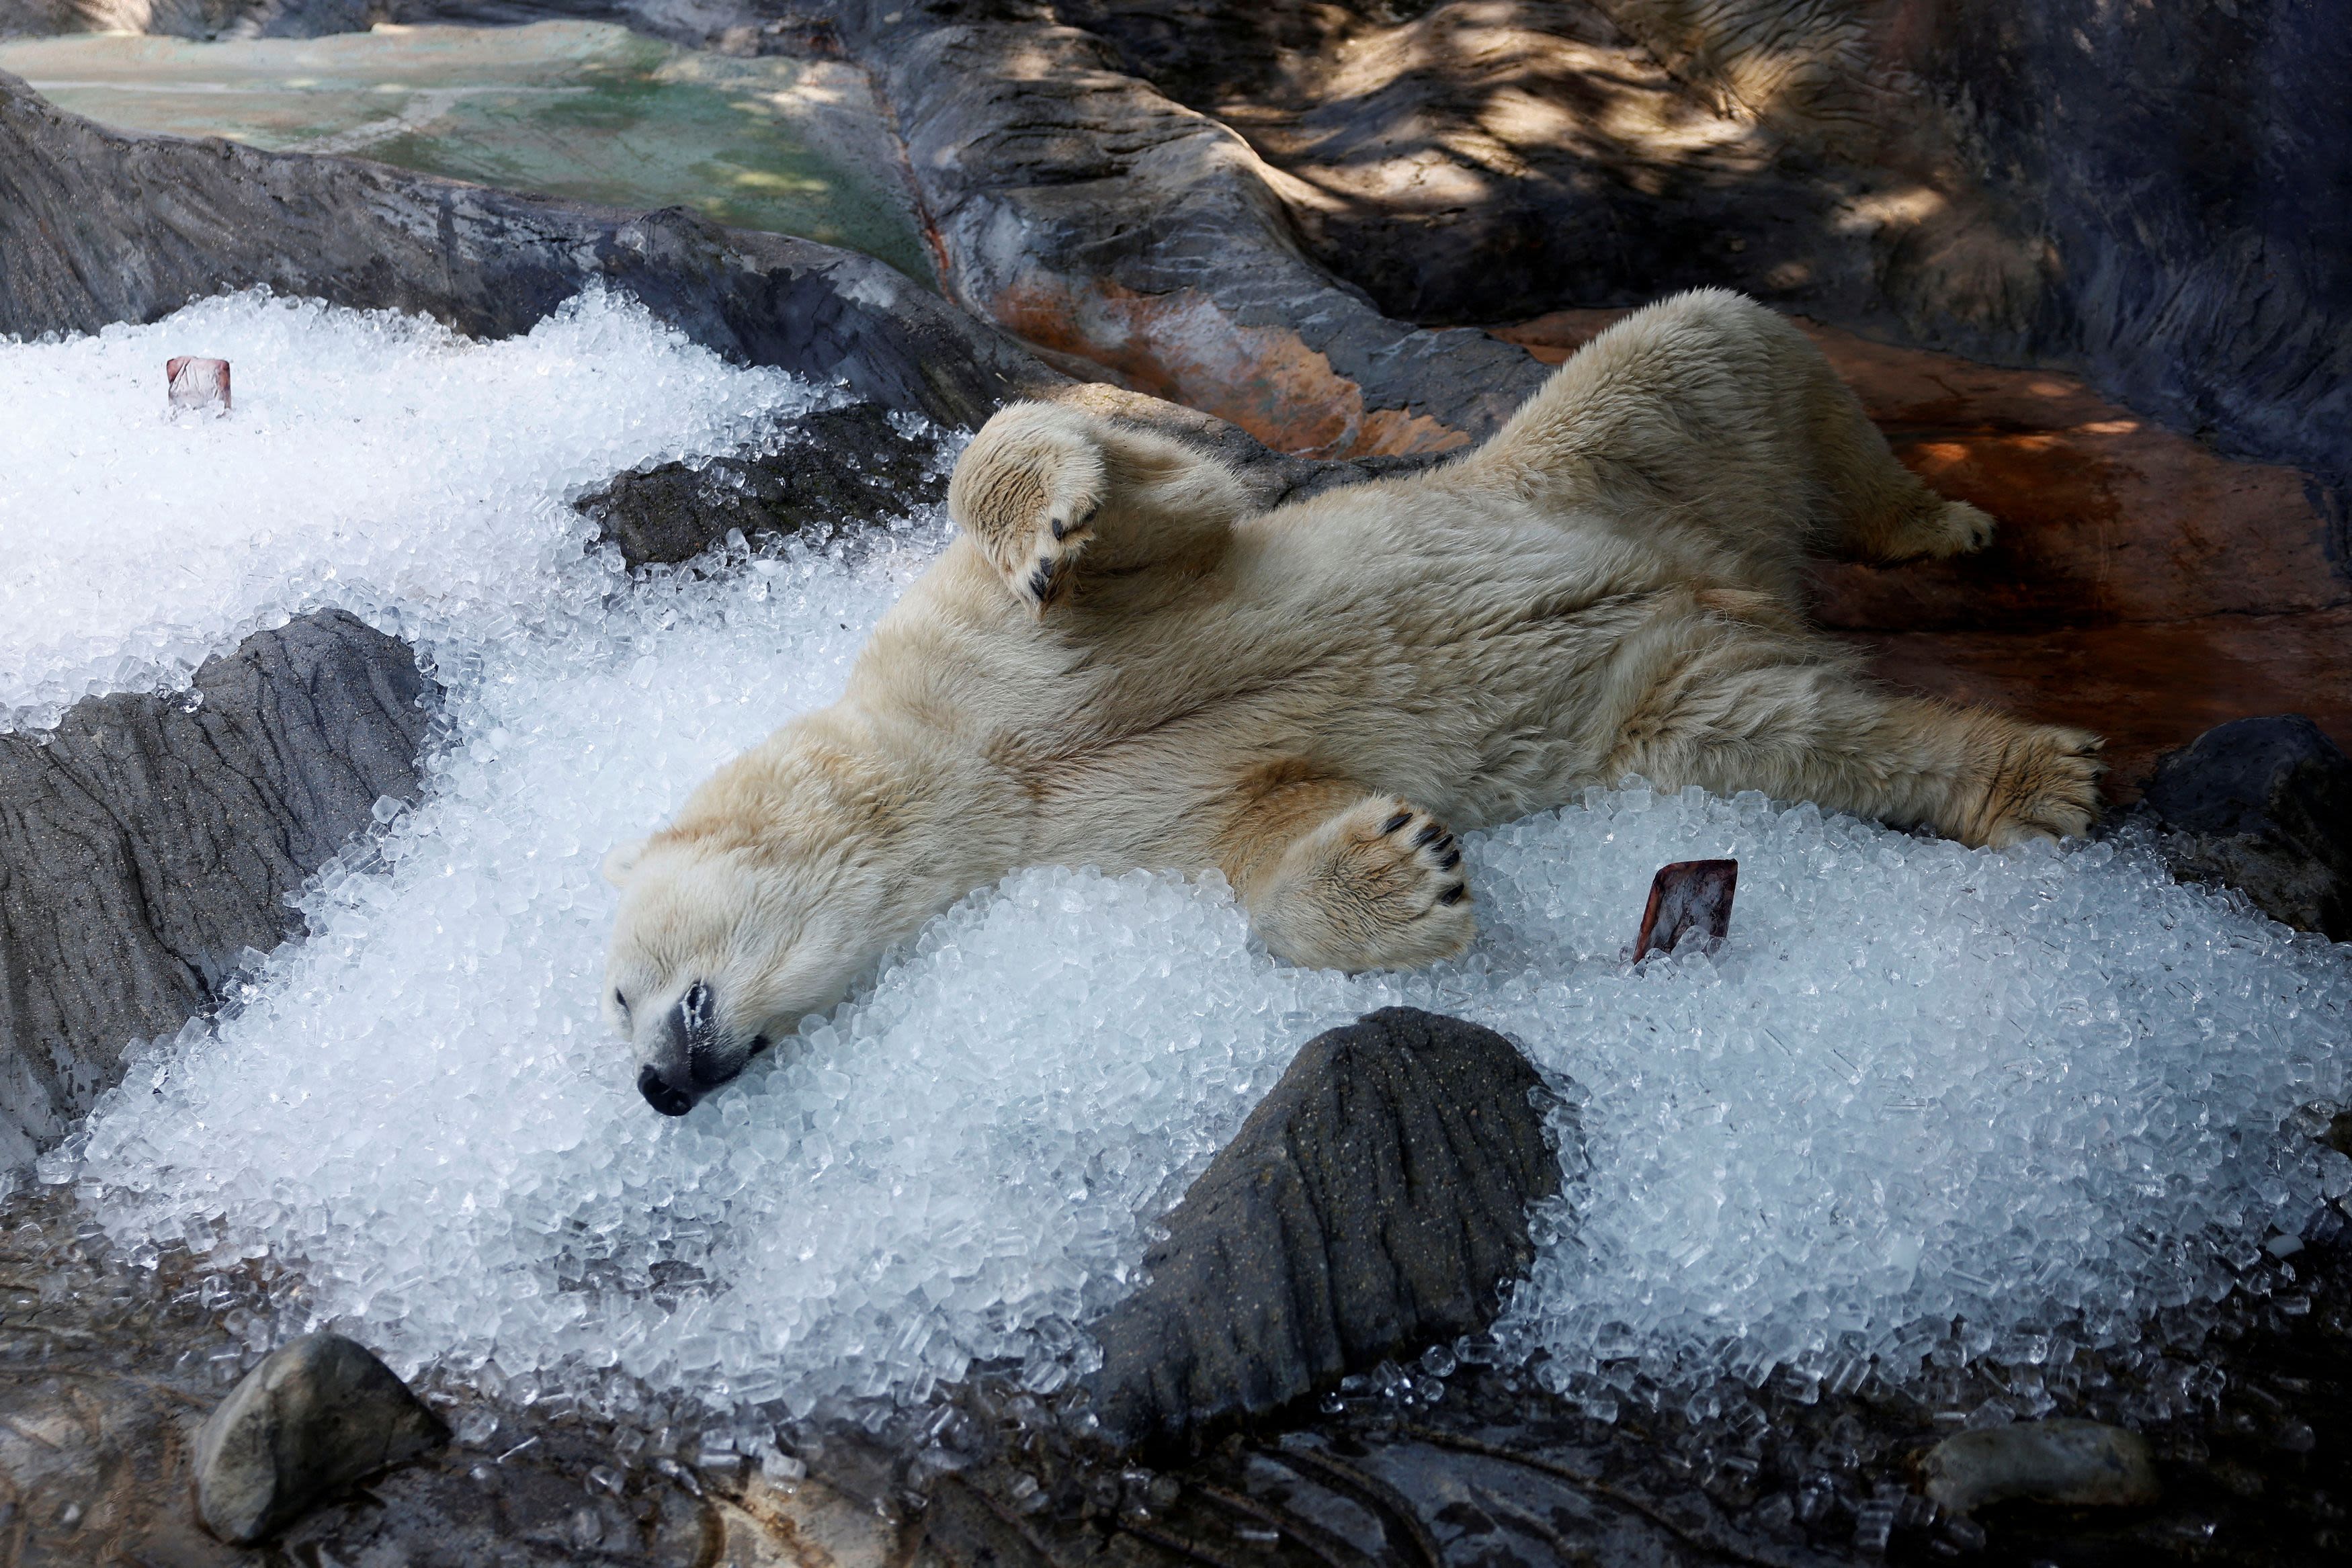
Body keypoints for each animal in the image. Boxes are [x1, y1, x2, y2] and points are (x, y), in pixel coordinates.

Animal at [602, 289, 2102, 1115]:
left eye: (618, 992)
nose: (659, 1089)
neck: (972, 768)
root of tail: (1727, 577)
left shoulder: (960, 641)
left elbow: (1143, 499)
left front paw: (1055, 516)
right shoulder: (1085, 838)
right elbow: (1268, 818)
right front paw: (1405, 868)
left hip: (1590, 459)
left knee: (1714, 344)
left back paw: (1939, 525)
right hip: (1664, 688)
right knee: (1790, 734)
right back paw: (2029, 779)